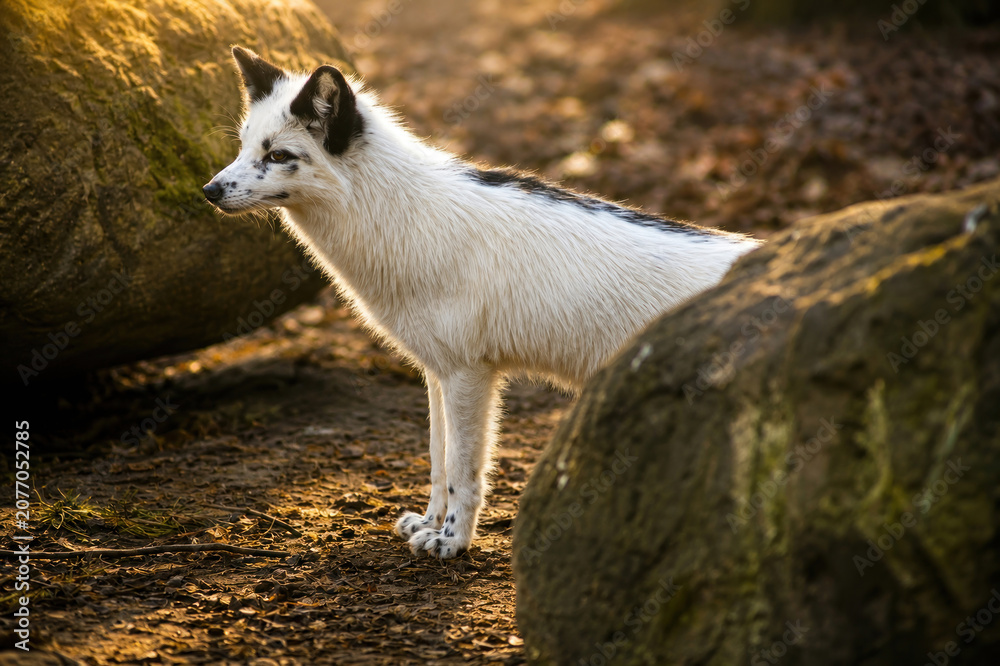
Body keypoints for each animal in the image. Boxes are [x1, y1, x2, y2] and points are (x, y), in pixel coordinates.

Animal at [204, 46, 762, 560]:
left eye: (278, 156)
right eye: (244, 146)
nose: (209, 191)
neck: (405, 215)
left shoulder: (470, 375)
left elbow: (461, 471)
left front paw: (452, 540)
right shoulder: (436, 373)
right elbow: (436, 459)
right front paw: (429, 523)